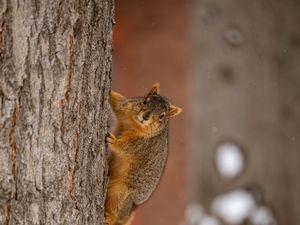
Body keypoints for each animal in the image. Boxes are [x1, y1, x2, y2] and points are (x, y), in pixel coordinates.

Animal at [104, 83, 182, 225]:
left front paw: (114, 141)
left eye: (162, 115)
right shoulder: (126, 107)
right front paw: (109, 91)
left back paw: (109, 217)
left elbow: (128, 148)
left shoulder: (143, 146)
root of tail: (132, 210)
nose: (145, 117)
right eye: (145, 101)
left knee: (118, 212)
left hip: (121, 193)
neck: (135, 124)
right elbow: (117, 102)